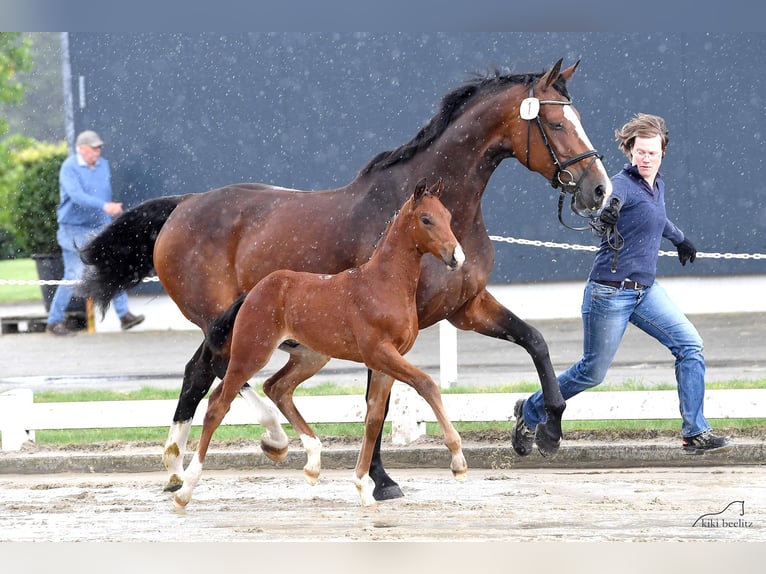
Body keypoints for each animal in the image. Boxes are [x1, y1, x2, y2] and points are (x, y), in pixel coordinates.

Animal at [81, 57, 616, 500]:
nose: (599, 190)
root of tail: (183, 206)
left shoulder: (467, 308)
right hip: (226, 319)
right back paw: (266, 441)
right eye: (555, 123)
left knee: (201, 374)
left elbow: (536, 342)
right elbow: (376, 401)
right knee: (218, 373)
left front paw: (542, 432)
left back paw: (178, 467)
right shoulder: (386, 332)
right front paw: (379, 480)